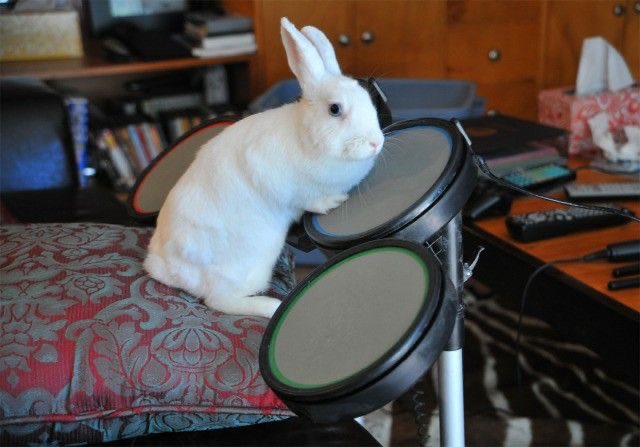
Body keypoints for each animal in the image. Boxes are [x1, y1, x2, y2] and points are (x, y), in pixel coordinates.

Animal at [144, 17, 385, 318]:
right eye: (335, 109)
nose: (376, 143)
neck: (305, 136)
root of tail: (166, 270)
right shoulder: (276, 180)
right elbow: (308, 199)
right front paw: (332, 202)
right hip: (249, 261)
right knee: (219, 300)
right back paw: (272, 307)